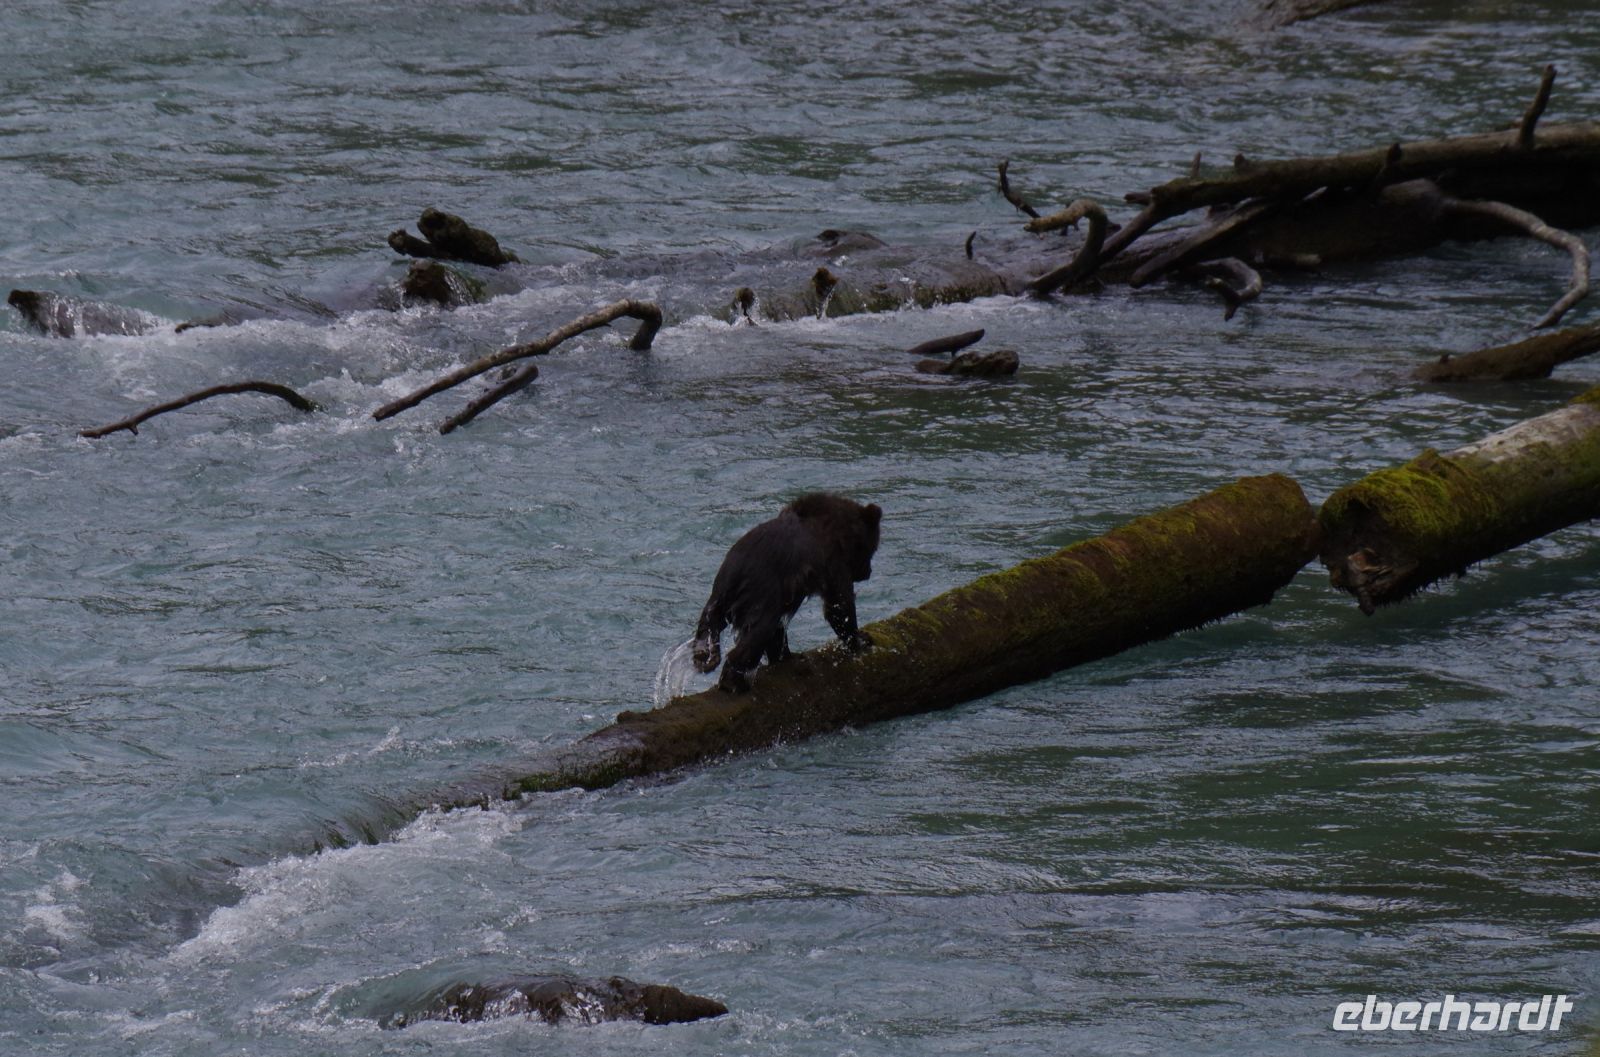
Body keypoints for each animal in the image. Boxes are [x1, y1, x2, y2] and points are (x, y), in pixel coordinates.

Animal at [692, 493, 881, 693]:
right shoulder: (831, 561)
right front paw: (861, 639)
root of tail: (732, 575)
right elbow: (839, 605)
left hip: (722, 598)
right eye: (873, 548)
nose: (867, 572)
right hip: (761, 591)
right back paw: (735, 682)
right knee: (760, 630)